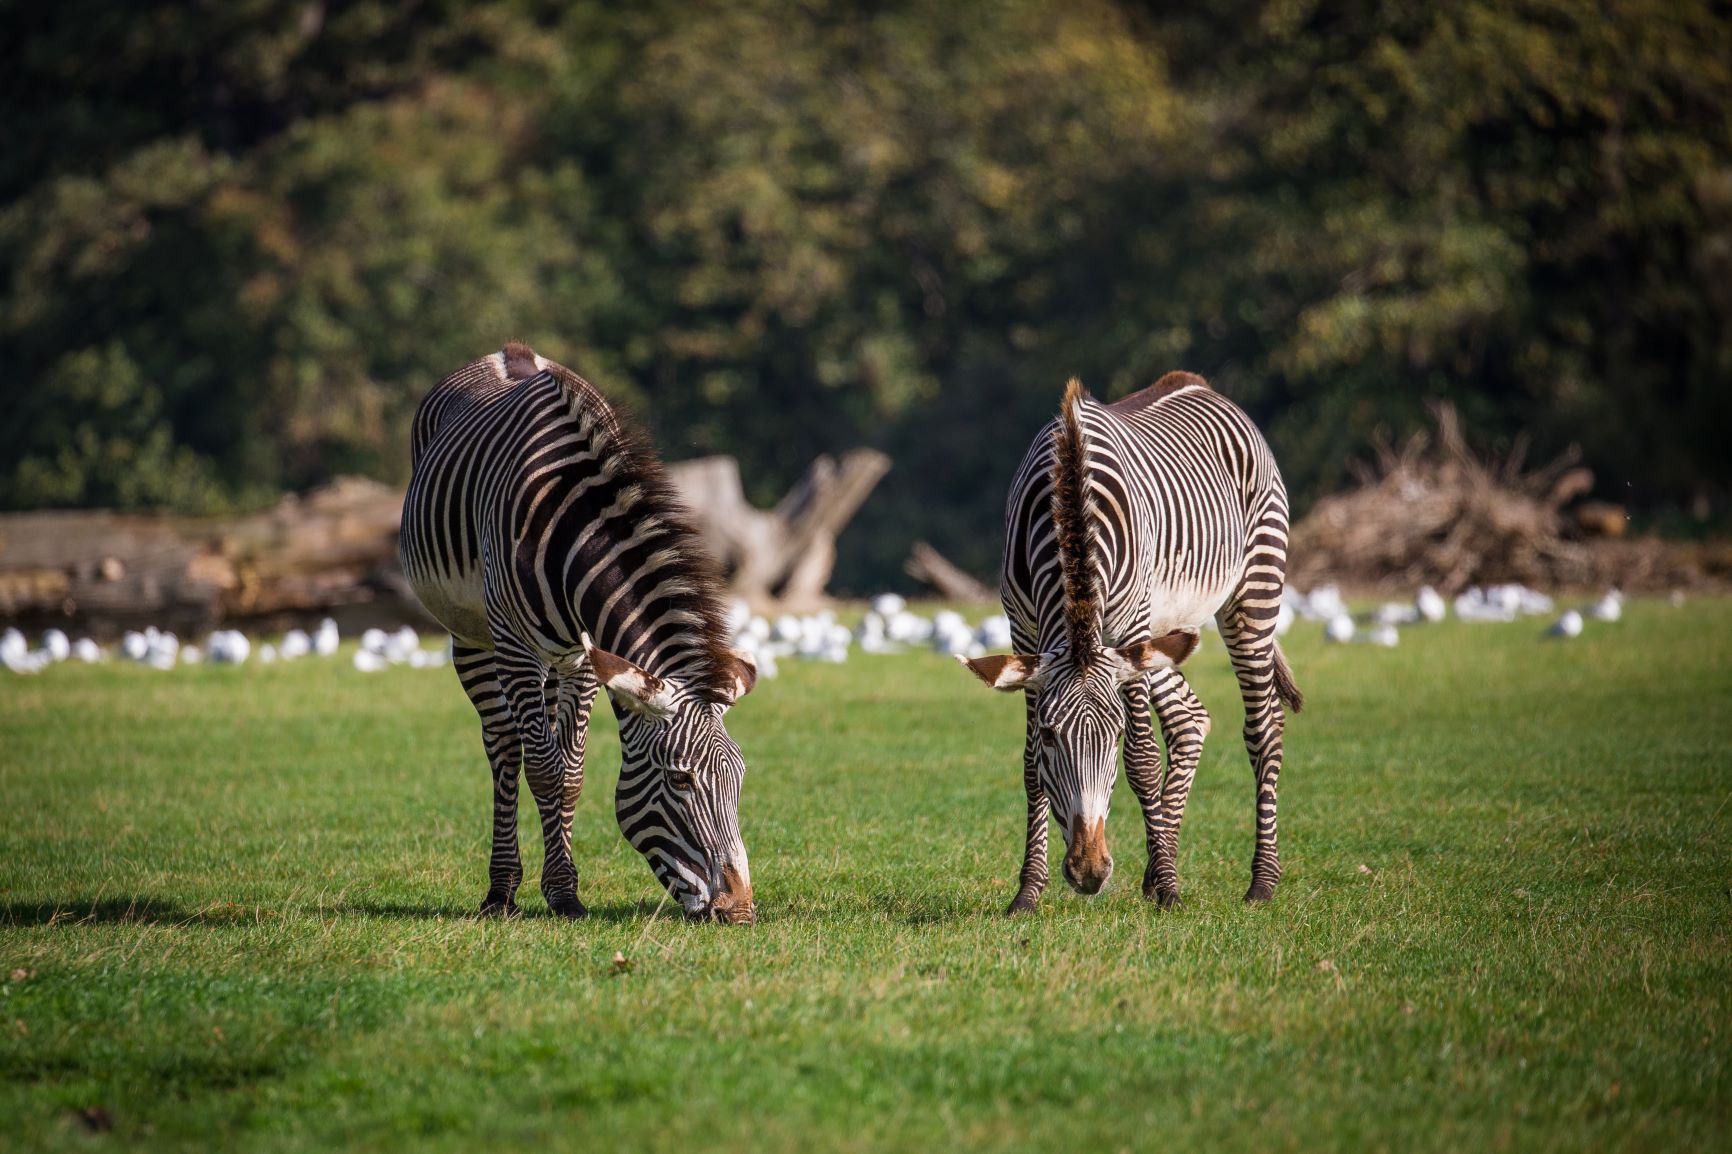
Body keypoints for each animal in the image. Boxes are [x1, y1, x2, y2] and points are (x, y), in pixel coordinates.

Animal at [408, 346, 762, 921]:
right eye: (680, 779)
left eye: (740, 777)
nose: (740, 911)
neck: (572, 533)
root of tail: (509, 351)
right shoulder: (516, 647)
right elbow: (545, 770)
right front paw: (560, 892)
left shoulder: (585, 658)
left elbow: (569, 774)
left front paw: (562, 888)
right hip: (474, 635)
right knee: (504, 744)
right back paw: (501, 889)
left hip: (555, 660)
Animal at [962, 372, 1302, 914]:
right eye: (1053, 737)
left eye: (1115, 735)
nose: (1089, 873)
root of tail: (1197, 383)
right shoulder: (1024, 630)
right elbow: (1031, 768)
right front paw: (1028, 892)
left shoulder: (1132, 629)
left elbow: (1142, 760)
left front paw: (1170, 889)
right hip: (1165, 637)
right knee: (1189, 720)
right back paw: (1157, 865)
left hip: (1252, 590)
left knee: (1264, 728)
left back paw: (1260, 881)